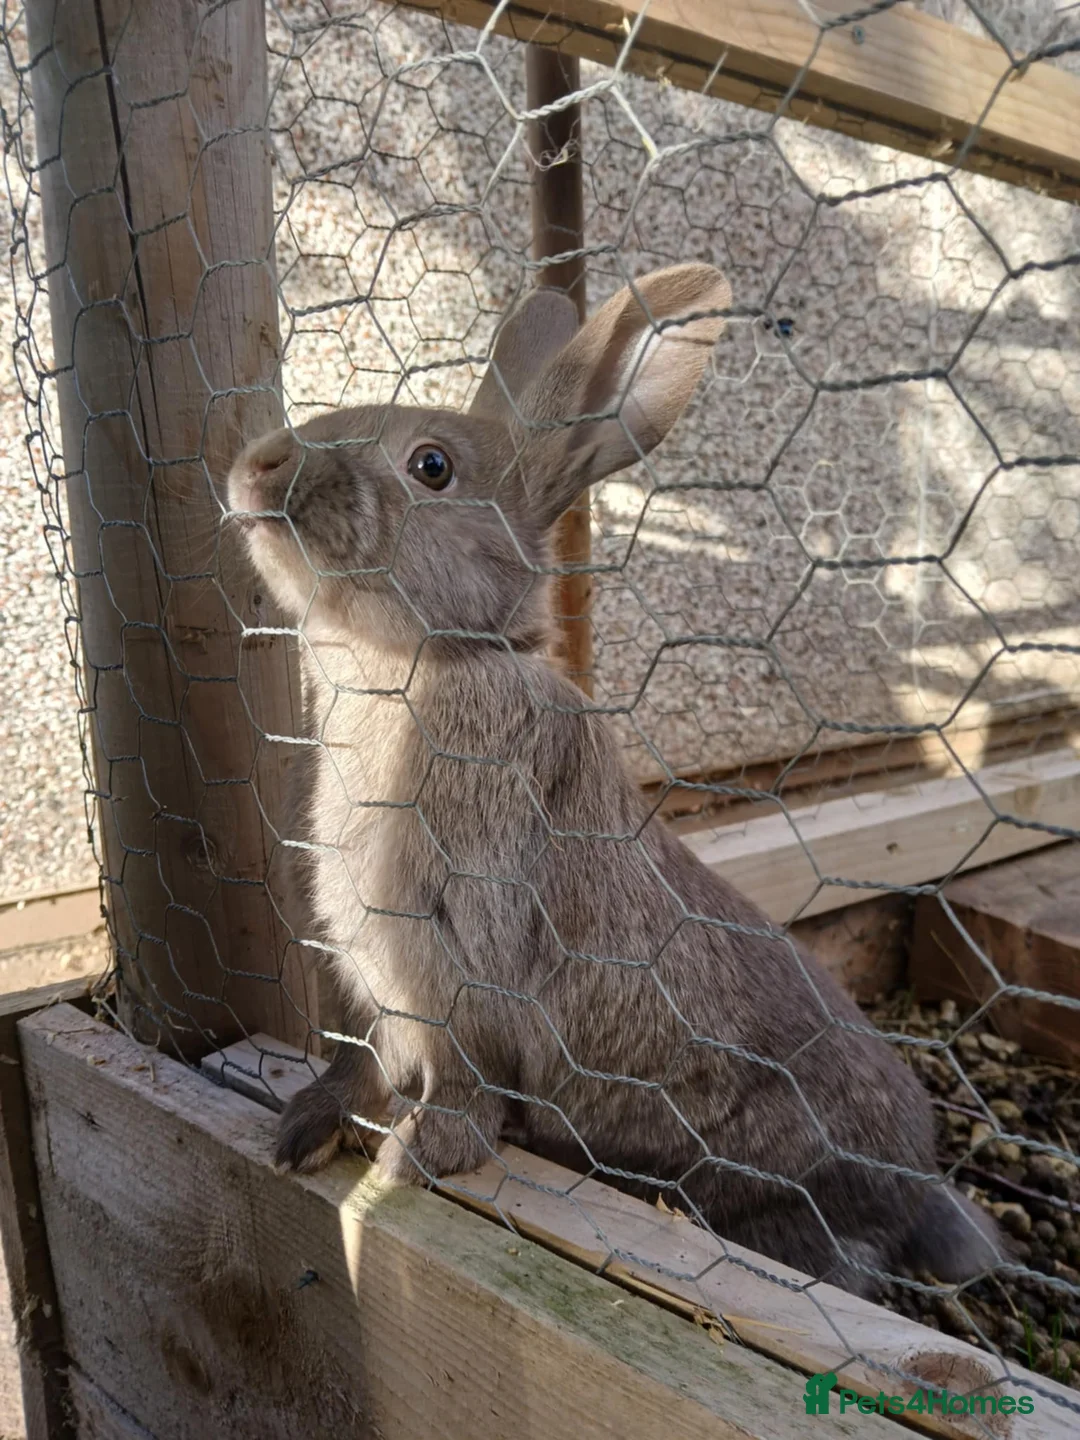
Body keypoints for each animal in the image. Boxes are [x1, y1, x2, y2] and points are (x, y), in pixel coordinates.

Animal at [226, 263, 1002, 1296]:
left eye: (431, 467)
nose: (258, 467)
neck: (440, 659)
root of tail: (916, 1189)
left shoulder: (460, 962)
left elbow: (462, 1079)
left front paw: (414, 1160)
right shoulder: (372, 980)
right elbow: (364, 1065)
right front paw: (299, 1134)